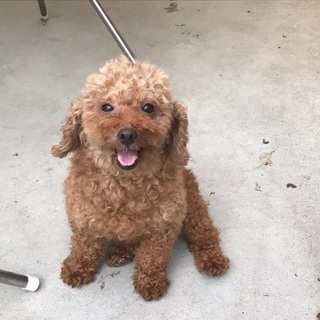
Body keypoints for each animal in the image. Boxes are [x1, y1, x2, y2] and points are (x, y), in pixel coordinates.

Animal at [51, 55, 229, 300]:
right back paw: (121, 253)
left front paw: (150, 282)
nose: (127, 134)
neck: (125, 184)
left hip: (193, 209)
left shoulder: (163, 228)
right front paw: (77, 267)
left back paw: (212, 259)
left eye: (148, 107)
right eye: (106, 107)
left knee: (205, 233)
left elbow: (152, 258)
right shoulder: (83, 221)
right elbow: (83, 246)